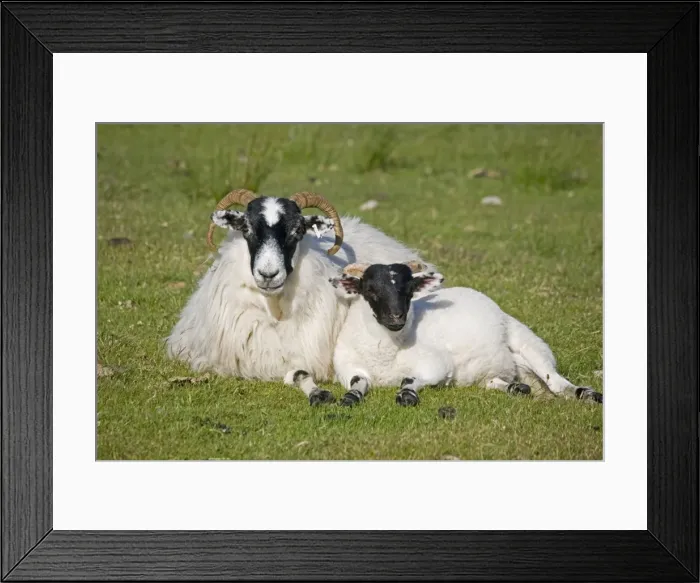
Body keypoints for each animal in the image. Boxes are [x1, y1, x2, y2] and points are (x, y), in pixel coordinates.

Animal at [326, 261, 603, 407]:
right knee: (503, 382)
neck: (386, 353)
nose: (397, 318)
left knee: (556, 382)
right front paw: (350, 397)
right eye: (370, 291)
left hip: (528, 343)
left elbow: (410, 379)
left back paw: (589, 395)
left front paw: (407, 394)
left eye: (409, 291)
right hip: (492, 371)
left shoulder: (437, 365)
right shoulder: (348, 369)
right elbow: (358, 382)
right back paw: (515, 387)